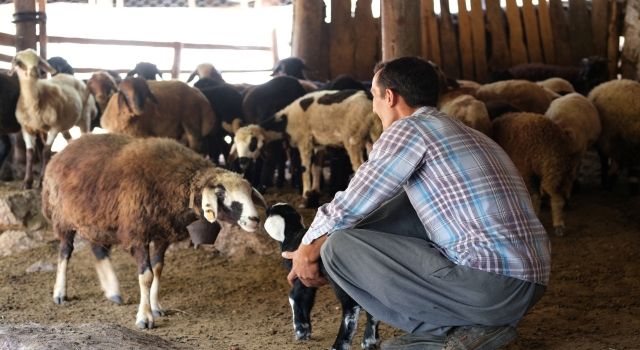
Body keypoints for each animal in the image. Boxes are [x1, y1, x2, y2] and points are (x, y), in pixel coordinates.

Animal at [10, 49, 94, 189]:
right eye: (19, 62)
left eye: (38, 61)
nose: (35, 73)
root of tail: (70, 76)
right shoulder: (26, 129)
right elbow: (29, 154)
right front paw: (27, 182)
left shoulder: (54, 127)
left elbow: (46, 152)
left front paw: (41, 181)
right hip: (65, 125)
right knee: (70, 141)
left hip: (84, 116)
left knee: (85, 137)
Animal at [42, 133, 268, 330]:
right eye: (221, 193)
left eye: (249, 192)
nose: (255, 219)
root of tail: (60, 153)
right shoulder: (137, 234)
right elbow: (146, 276)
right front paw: (145, 317)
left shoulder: (162, 234)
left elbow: (158, 269)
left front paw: (156, 306)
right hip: (63, 219)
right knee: (65, 252)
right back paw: (60, 292)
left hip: (96, 220)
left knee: (98, 250)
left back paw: (113, 292)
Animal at [264, 204, 380, 348]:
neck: (293, 233)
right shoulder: (308, 280)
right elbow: (307, 300)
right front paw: (305, 330)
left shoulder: (300, 276)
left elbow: (295, 297)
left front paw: (300, 331)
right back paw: (369, 341)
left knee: (350, 308)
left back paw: (339, 345)